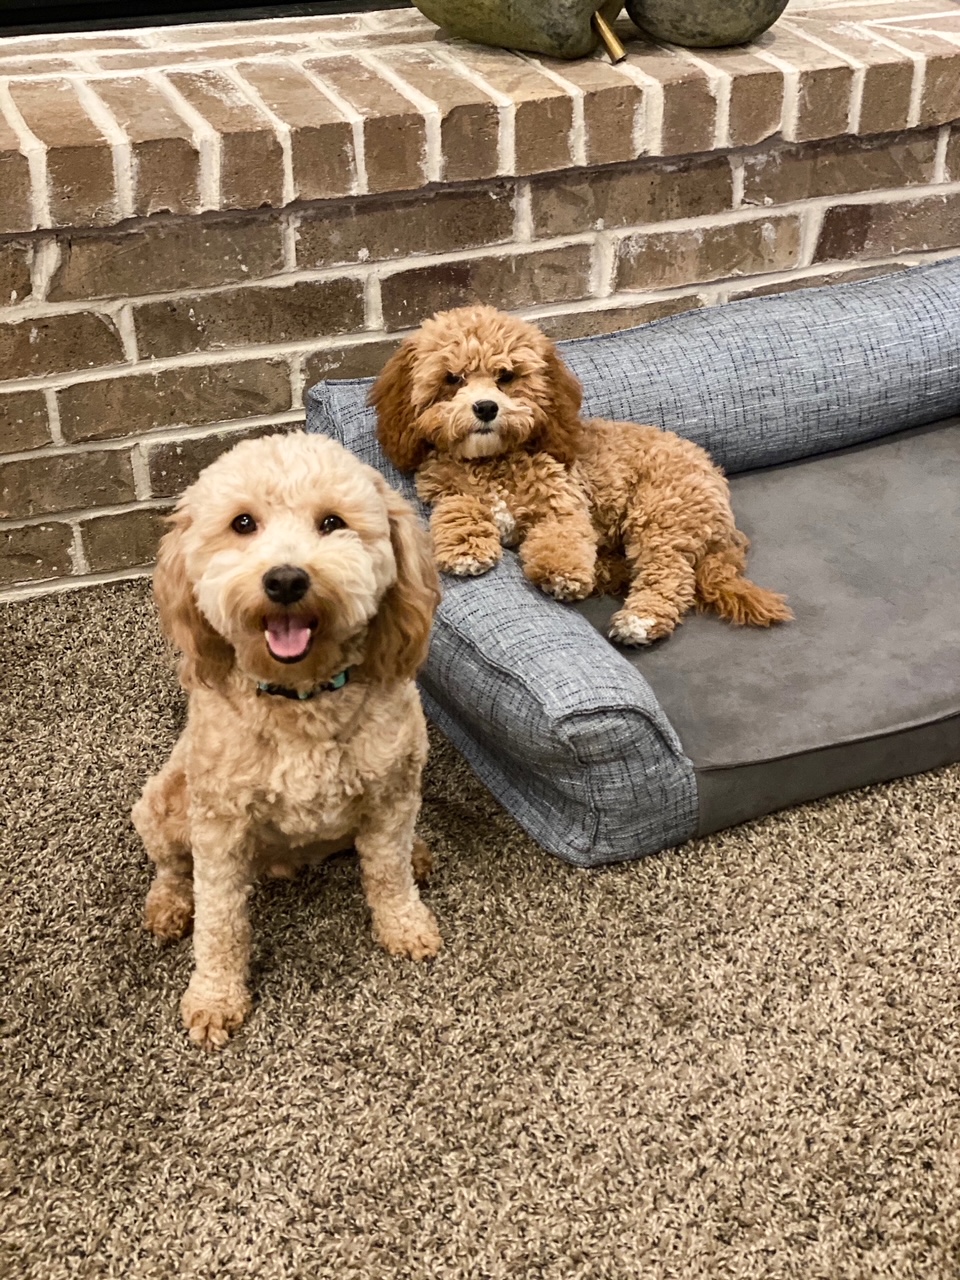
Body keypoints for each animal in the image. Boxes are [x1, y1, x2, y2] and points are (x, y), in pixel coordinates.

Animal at [131, 432, 442, 1049]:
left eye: (332, 522)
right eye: (242, 523)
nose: (286, 580)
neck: (302, 698)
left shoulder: (393, 792)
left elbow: (388, 873)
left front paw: (405, 925)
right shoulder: (220, 827)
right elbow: (219, 920)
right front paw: (214, 999)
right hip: (162, 802)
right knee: (173, 868)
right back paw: (168, 907)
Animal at [371, 303, 793, 645]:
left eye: (506, 376)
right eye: (452, 379)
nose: (487, 407)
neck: (493, 464)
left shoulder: (563, 501)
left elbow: (562, 535)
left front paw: (561, 573)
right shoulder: (447, 491)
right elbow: (459, 510)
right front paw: (465, 548)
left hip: (660, 514)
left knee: (670, 576)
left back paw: (639, 620)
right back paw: (608, 572)